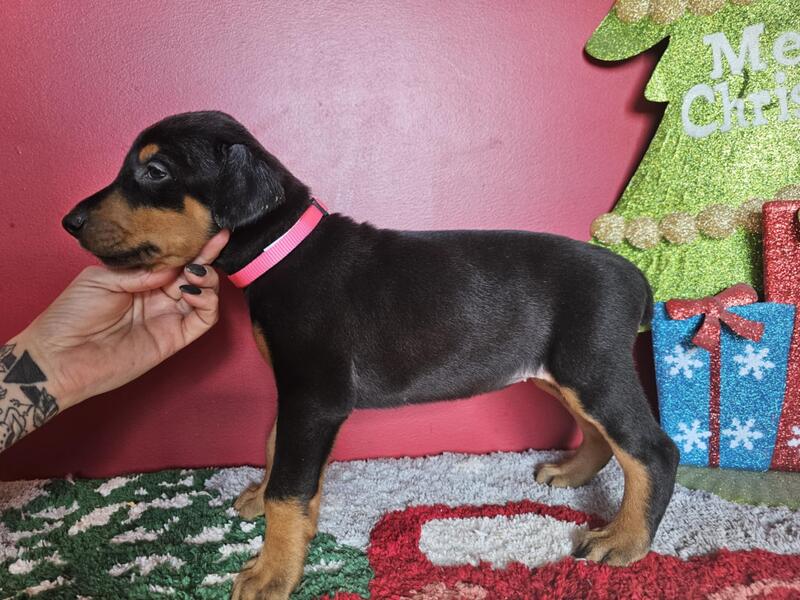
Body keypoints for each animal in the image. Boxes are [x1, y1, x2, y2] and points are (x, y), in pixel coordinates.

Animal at [62, 111, 679, 600]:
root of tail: (634, 276)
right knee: (602, 432)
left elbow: (291, 487)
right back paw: (572, 473)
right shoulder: (297, 391)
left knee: (651, 448)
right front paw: (266, 502)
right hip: (558, 369)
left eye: (156, 172)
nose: (69, 222)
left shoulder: (315, 395)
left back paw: (624, 541)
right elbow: (278, 450)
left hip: (588, 366)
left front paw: (271, 573)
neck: (283, 249)